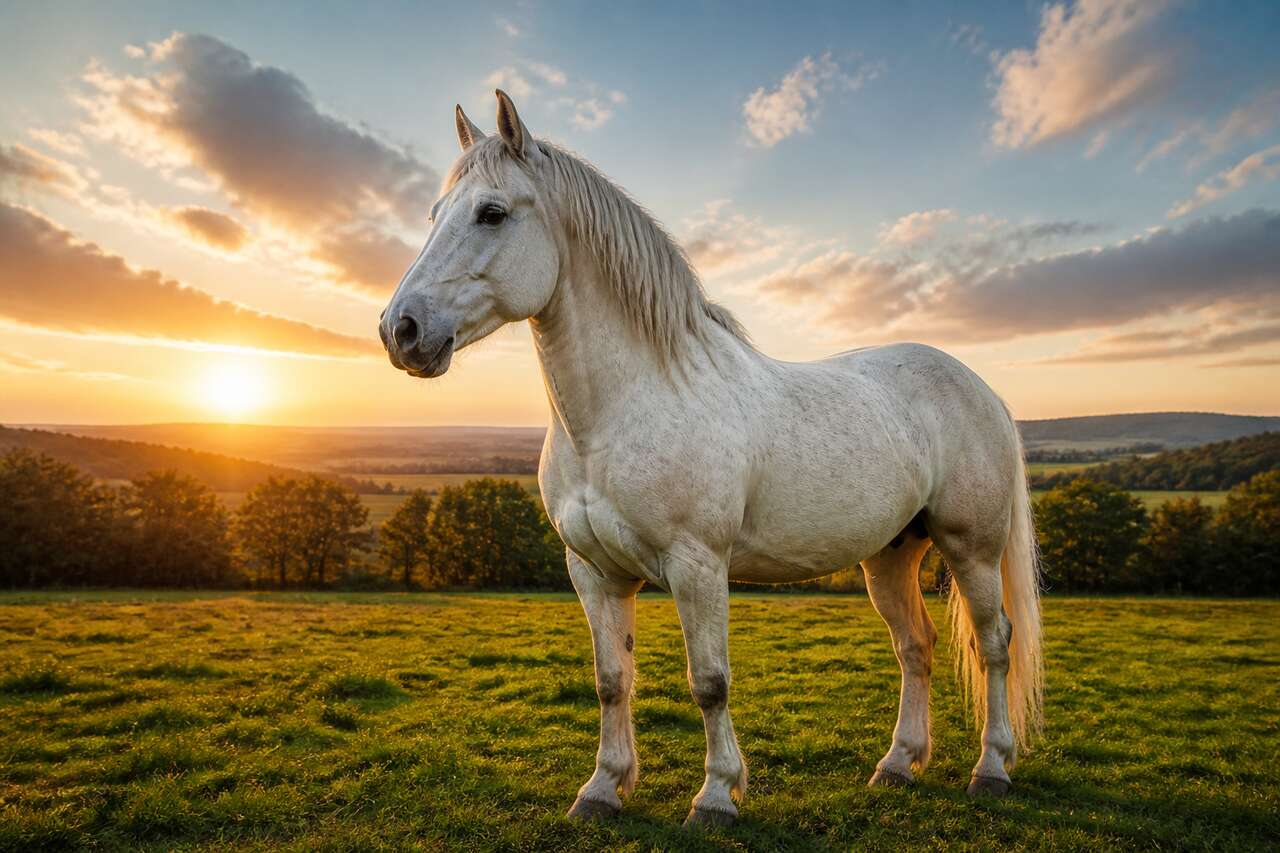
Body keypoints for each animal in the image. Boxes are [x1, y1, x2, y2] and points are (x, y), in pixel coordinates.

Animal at [379, 90, 1044, 827]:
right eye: (435, 214)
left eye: (492, 212)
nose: (400, 330)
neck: (624, 408)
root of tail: (979, 386)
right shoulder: (594, 573)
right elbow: (611, 680)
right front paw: (602, 788)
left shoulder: (697, 565)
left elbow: (709, 681)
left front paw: (717, 795)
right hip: (891, 555)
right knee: (915, 647)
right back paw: (898, 764)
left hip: (972, 548)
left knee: (993, 643)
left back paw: (991, 768)